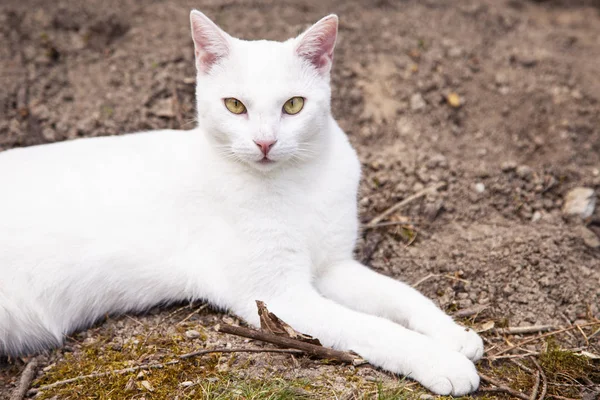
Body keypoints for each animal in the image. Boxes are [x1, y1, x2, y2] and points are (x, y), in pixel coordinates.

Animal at [0, 10, 482, 396]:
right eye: (234, 106)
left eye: (294, 105)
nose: (265, 142)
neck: (297, 183)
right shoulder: (280, 294)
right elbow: (375, 328)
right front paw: (444, 363)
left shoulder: (332, 267)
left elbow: (403, 295)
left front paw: (455, 335)